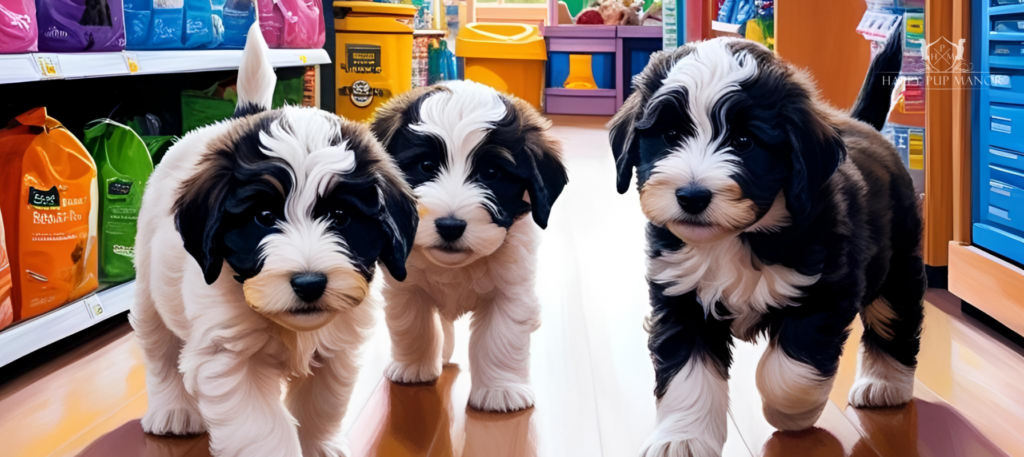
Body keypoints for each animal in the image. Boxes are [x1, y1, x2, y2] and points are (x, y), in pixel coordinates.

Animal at [130, 24, 417, 457]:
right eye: (263, 218)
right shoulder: (229, 357)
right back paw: (173, 411)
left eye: (341, 217)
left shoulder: (336, 350)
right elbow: (261, 430)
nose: (310, 283)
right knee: (160, 352)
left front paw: (319, 446)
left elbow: (321, 405)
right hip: (150, 292)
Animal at [370, 80, 577, 411]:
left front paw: (501, 390)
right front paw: (413, 367)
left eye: (491, 173)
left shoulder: (511, 290)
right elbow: (414, 325)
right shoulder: (406, 286)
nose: (450, 226)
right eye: (426, 165)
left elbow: (500, 337)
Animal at [606, 39, 929, 457]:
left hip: (898, 264)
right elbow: (686, 375)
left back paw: (886, 384)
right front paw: (683, 438)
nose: (692, 196)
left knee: (895, 318)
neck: (737, 238)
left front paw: (791, 412)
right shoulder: (680, 297)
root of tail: (865, 127)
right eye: (671, 134)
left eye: (744, 142)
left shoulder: (825, 288)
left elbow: (789, 369)